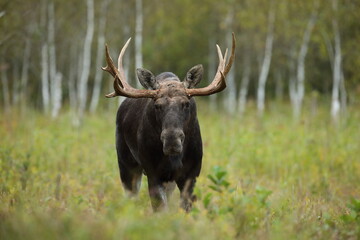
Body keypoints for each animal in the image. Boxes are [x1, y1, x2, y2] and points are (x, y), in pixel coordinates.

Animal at [102, 34, 235, 212]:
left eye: (186, 103)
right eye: (157, 105)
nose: (172, 140)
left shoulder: (191, 173)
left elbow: (186, 207)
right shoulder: (153, 172)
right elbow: (160, 209)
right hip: (126, 162)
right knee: (131, 196)